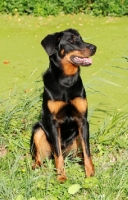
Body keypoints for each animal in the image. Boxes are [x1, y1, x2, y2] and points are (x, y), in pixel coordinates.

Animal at [30, 28, 96, 183]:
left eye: (81, 38)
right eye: (71, 41)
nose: (94, 48)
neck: (66, 81)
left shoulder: (82, 120)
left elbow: (87, 151)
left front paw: (90, 175)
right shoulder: (54, 122)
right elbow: (57, 154)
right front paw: (61, 177)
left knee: (79, 154)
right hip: (38, 130)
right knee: (40, 157)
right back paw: (36, 167)